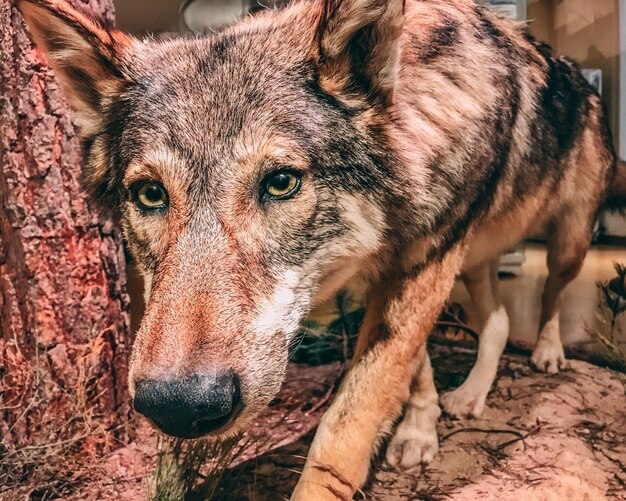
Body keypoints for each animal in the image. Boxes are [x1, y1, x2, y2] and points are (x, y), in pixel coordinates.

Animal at [17, 0, 620, 496]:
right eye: (149, 194)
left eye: (281, 182)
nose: (179, 406)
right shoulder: (397, 273)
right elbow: (416, 369)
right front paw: (419, 427)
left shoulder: (423, 266)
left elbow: (344, 431)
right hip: (472, 263)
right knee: (496, 322)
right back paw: (470, 396)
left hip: (564, 246)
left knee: (550, 298)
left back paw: (547, 353)